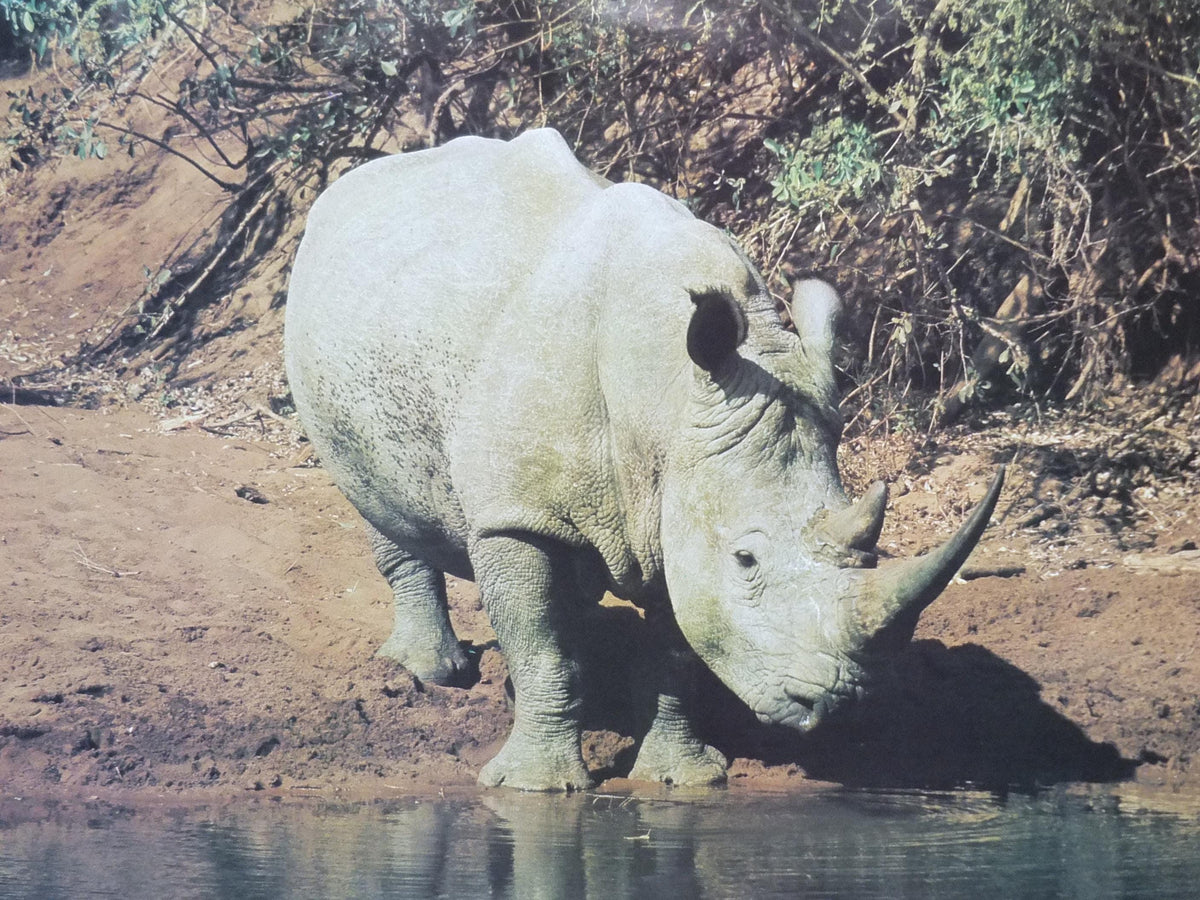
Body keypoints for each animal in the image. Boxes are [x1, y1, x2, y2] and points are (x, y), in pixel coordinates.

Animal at [284, 129, 1003, 791]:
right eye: (747, 560)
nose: (837, 702)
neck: (669, 398)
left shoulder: (678, 495)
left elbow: (675, 651)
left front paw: (683, 777)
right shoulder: (515, 514)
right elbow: (539, 647)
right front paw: (534, 787)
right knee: (375, 495)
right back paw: (433, 672)